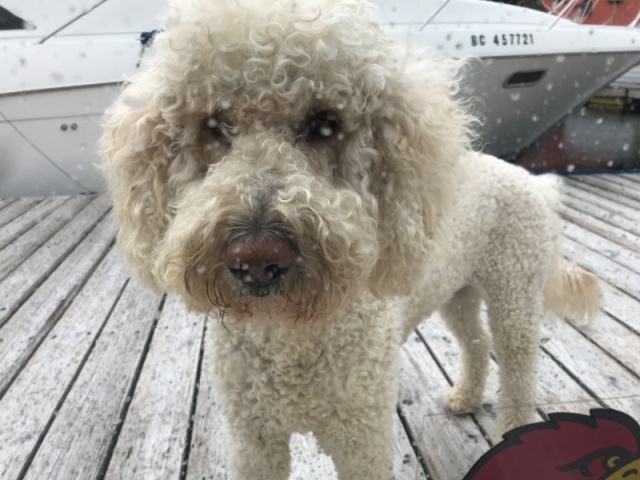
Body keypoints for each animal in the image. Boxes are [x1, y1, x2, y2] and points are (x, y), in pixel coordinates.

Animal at [99, 0, 600, 480]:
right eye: (213, 124)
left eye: (325, 123)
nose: (257, 256)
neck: (289, 336)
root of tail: (534, 182)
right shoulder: (253, 439)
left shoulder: (362, 435)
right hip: (456, 291)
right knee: (475, 341)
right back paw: (465, 397)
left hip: (515, 294)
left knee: (519, 374)